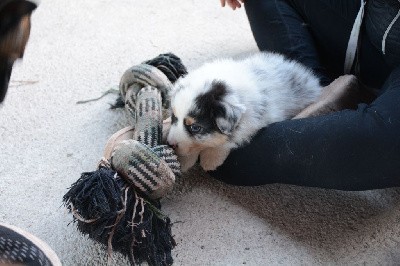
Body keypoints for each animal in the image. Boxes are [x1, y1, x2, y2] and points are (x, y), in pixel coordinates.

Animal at [166, 53, 322, 171]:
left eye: (195, 127)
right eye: (174, 117)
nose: (170, 144)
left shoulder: (254, 120)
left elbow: (227, 140)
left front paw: (210, 159)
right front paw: (184, 161)